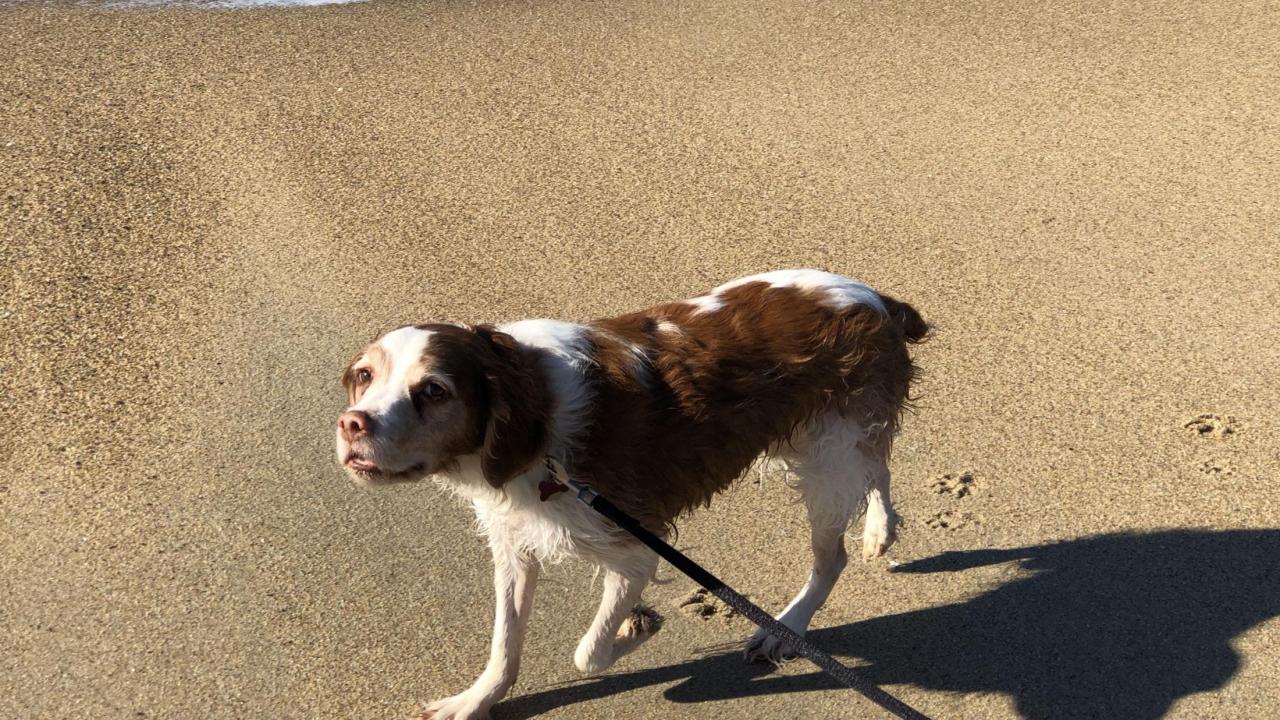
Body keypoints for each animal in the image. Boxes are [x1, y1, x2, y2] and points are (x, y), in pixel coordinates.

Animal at [335, 269, 926, 717]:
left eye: (435, 391)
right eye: (364, 376)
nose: (351, 424)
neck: (536, 423)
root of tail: (878, 302)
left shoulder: (634, 549)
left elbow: (588, 653)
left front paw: (637, 626)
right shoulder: (513, 541)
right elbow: (505, 641)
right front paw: (476, 701)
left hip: (828, 456)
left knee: (832, 554)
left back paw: (786, 628)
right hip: (820, 444)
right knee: (877, 469)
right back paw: (880, 529)